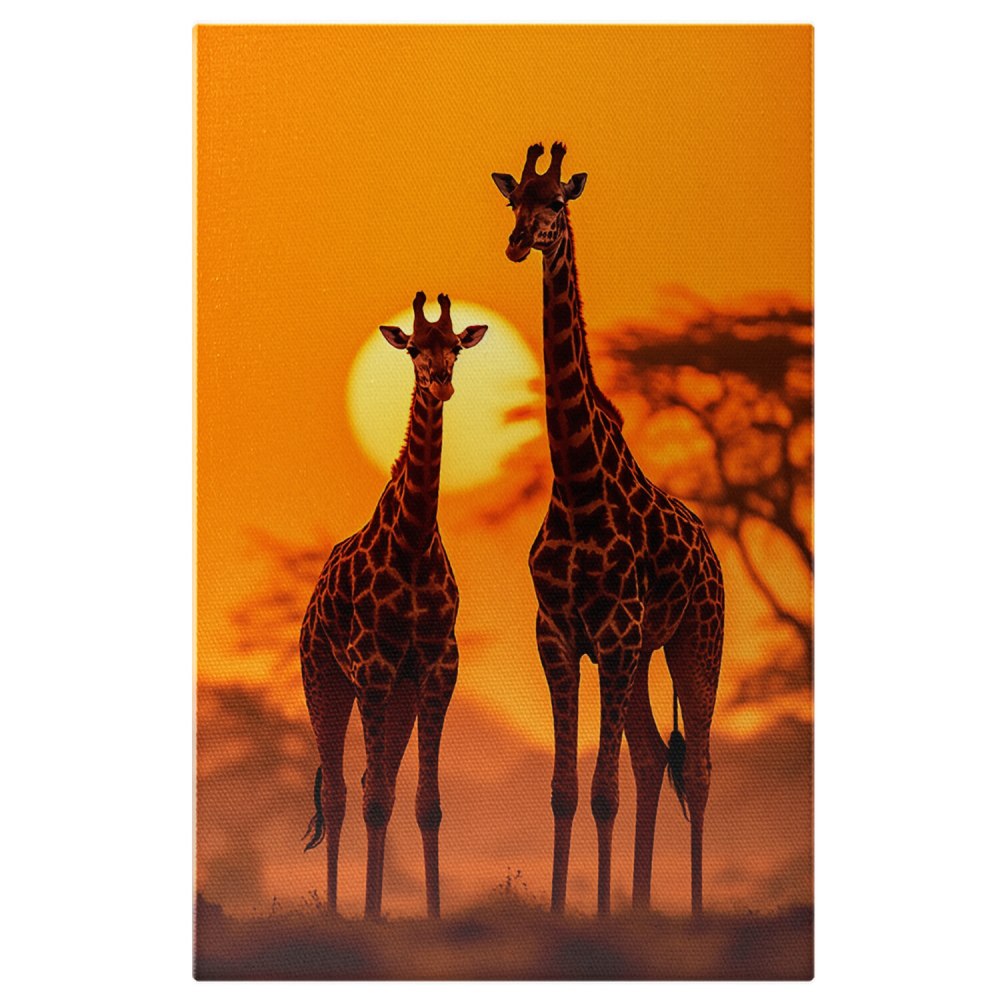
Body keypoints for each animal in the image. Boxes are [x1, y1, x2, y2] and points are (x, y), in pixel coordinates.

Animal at [300, 291, 487, 920]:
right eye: (412, 349)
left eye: (456, 346)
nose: (441, 381)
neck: (412, 543)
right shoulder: (371, 666)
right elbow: (374, 799)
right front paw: (369, 916)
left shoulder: (436, 667)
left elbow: (425, 801)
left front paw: (431, 915)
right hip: (324, 678)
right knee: (339, 791)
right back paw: (337, 910)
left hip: (397, 693)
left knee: (365, 781)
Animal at [492, 143, 725, 917]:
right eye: (514, 199)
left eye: (557, 201)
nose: (518, 242)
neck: (579, 487)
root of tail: (714, 554)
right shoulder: (560, 636)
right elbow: (567, 790)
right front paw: (569, 912)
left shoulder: (616, 635)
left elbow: (603, 791)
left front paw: (593, 916)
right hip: (647, 651)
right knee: (656, 758)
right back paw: (643, 904)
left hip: (693, 640)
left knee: (699, 766)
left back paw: (692, 910)